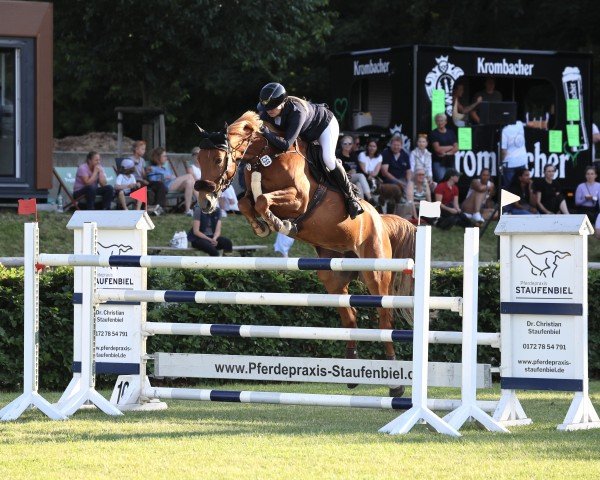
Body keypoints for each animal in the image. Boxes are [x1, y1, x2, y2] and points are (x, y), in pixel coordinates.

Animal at [195, 111, 414, 394]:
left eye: (218, 159)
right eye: (198, 159)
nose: (205, 203)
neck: (265, 155)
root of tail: (380, 219)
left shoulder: (299, 199)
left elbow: (263, 201)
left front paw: (280, 224)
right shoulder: (252, 195)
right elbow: (246, 202)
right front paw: (261, 226)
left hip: (376, 274)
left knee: (385, 321)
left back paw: (395, 385)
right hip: (333, 277)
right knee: (351, 319)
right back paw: (352, 373)